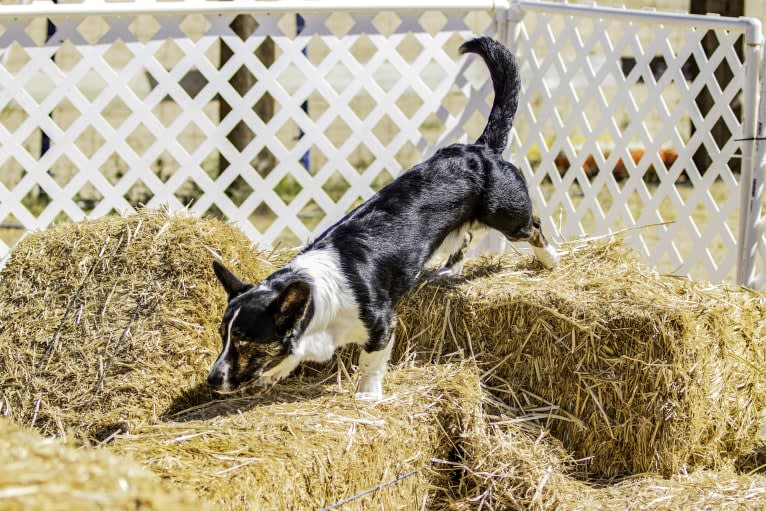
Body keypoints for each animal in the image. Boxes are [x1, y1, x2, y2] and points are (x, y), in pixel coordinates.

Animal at [207, 38, 560, 402]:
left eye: (244, 342)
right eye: (222, 335)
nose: (211, 381)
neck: (317, 300)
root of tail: (481, 149)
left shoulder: (381, 325)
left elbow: (369, 363)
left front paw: (368, 396)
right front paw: (274, 373)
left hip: (509, 216)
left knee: (534, 227)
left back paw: (550, 259)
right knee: (464, 235)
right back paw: (450, 270)